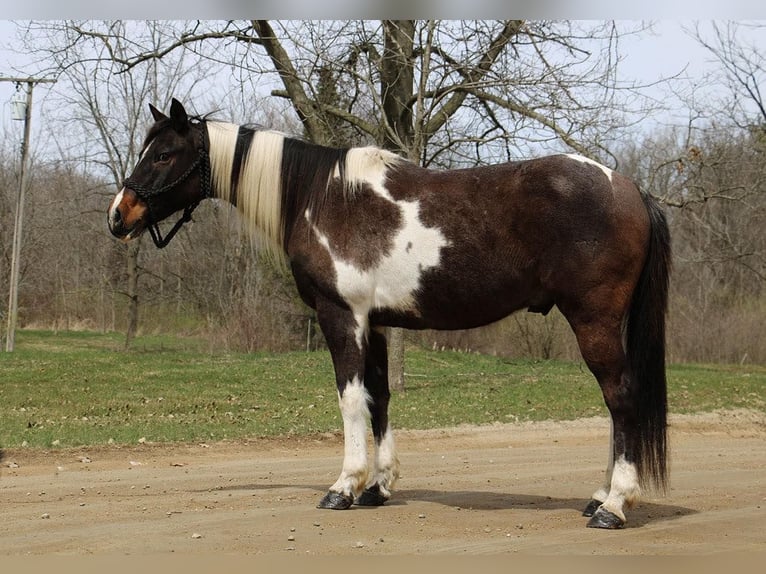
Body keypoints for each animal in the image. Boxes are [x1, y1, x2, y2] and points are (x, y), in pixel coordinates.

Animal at [108, 99, 672, 532]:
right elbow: (378, 398)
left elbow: (350, 399)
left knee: (621, 399)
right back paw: (598, 498)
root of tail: (629, 187)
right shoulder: (374, 322)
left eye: (164, 154)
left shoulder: (341, 317)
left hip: (594, 320)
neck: (322, 197)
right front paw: (378, 487)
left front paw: (343, 487)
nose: (118, 215)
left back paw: (614, 506)